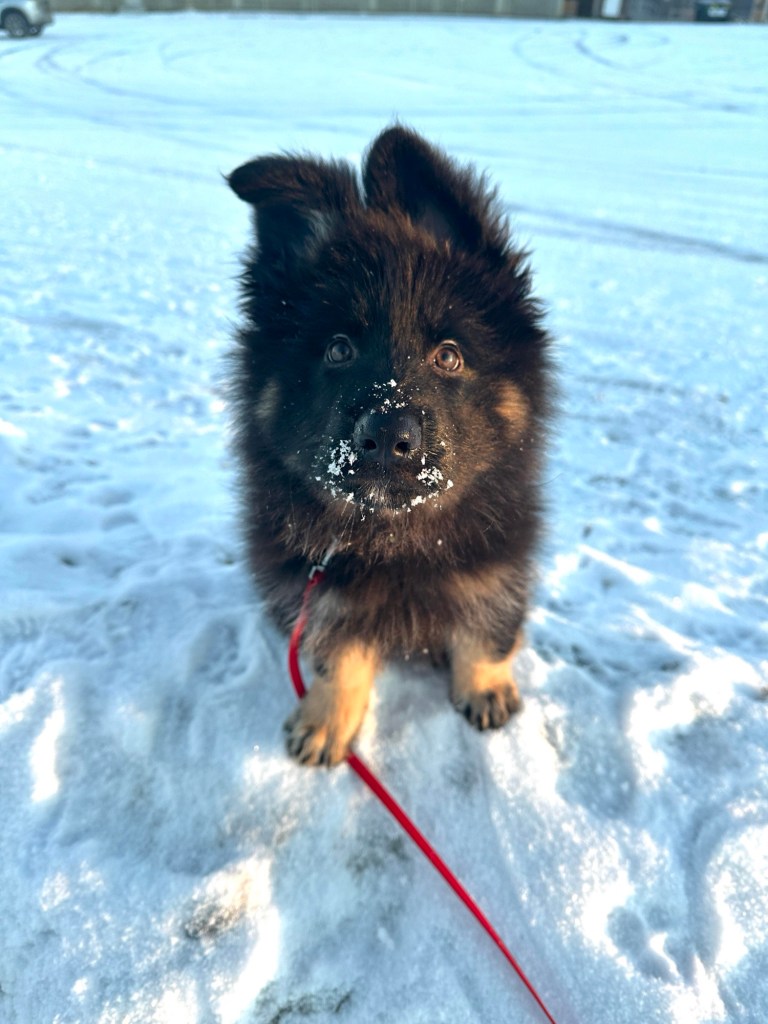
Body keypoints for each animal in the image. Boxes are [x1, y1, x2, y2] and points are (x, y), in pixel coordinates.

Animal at [227, 126, 554, 766]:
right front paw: (328, 720)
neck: (398, 538)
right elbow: (337, 657)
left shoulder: (498, 560)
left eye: (448, 355)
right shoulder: (323, 591)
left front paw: (485, 686)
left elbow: (487, 628)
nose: (387, 439)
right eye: (338, 349)